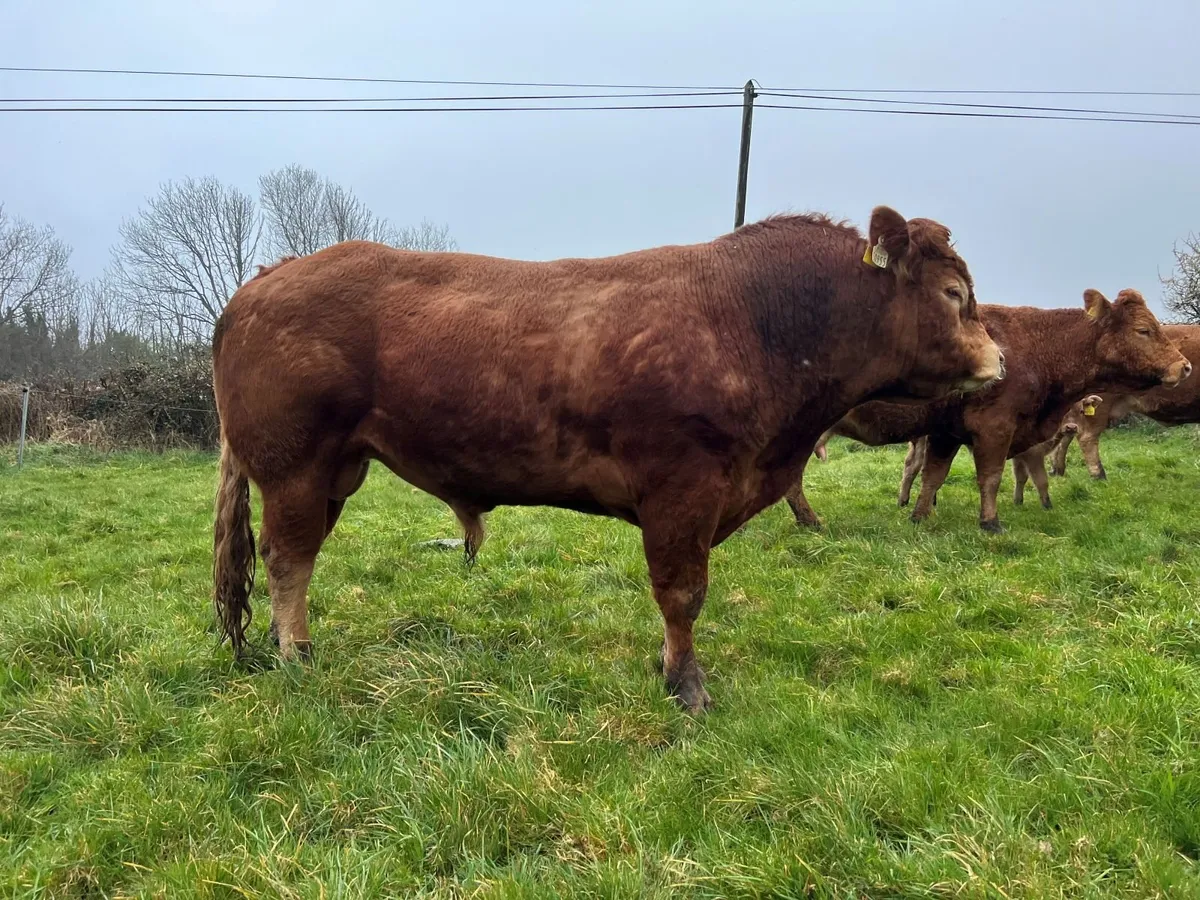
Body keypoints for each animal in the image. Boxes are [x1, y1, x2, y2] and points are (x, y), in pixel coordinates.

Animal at [211, 207, 1003, 713]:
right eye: (953, 293)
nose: (999, 359)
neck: (754, 321)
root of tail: (269, 276)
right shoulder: (682, 488)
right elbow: (682, 593)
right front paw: (686, 686)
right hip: (295, 465)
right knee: (288, 559)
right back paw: (297, 656)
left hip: (334, 470)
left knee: (294, 558)